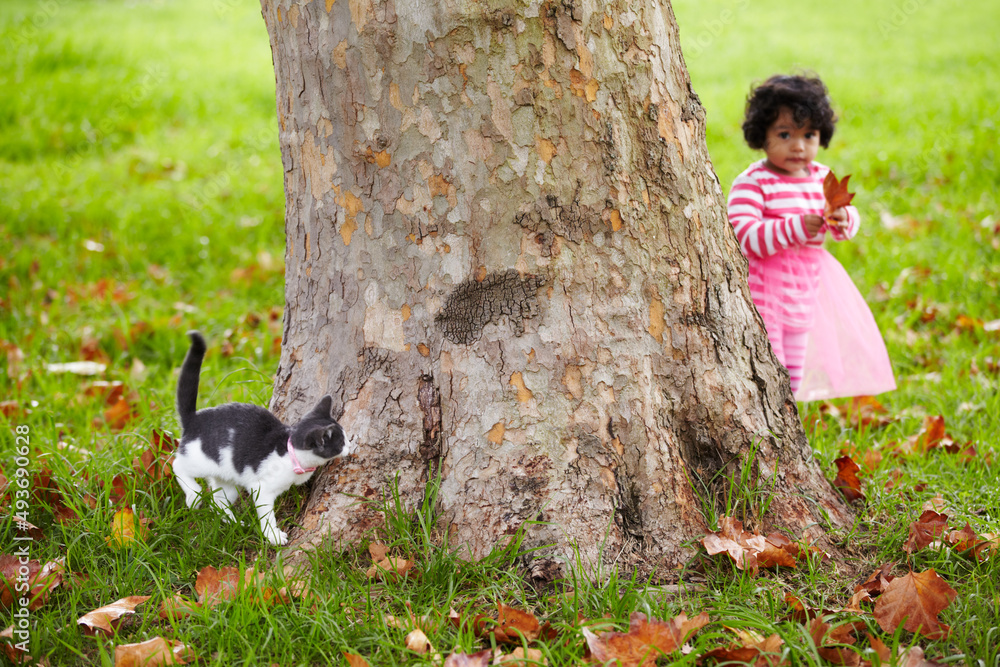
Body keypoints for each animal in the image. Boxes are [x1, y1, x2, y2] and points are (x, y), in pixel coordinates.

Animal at [174, 332, 354, 544]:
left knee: (218, 502)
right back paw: (193, 494)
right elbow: (267, 515)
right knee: (178, 466)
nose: (351, 444)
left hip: (227, 479)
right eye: (341, 442)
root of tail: (194, 418)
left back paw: (235, 522)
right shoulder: (261, 489)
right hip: (200, 459)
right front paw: (274, 536)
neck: (290, 453)